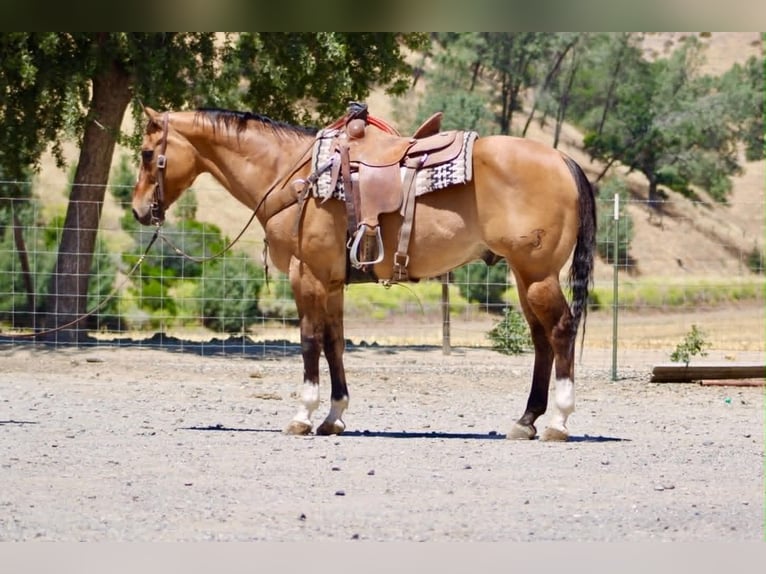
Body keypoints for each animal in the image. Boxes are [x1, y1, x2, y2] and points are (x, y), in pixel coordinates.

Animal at [131, 105, 596, 441]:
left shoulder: (306, 275)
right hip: (525, 276)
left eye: (145, 154)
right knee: (541, 340)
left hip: (537, 274)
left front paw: (303, 414)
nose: (138, 210)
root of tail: (562, 159)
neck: (294, 176)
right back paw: (526, 420)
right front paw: (334, 416)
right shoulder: (333, 281)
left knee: (560, 330)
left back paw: (558, 422)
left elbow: (309, 340)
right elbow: (334, 342)